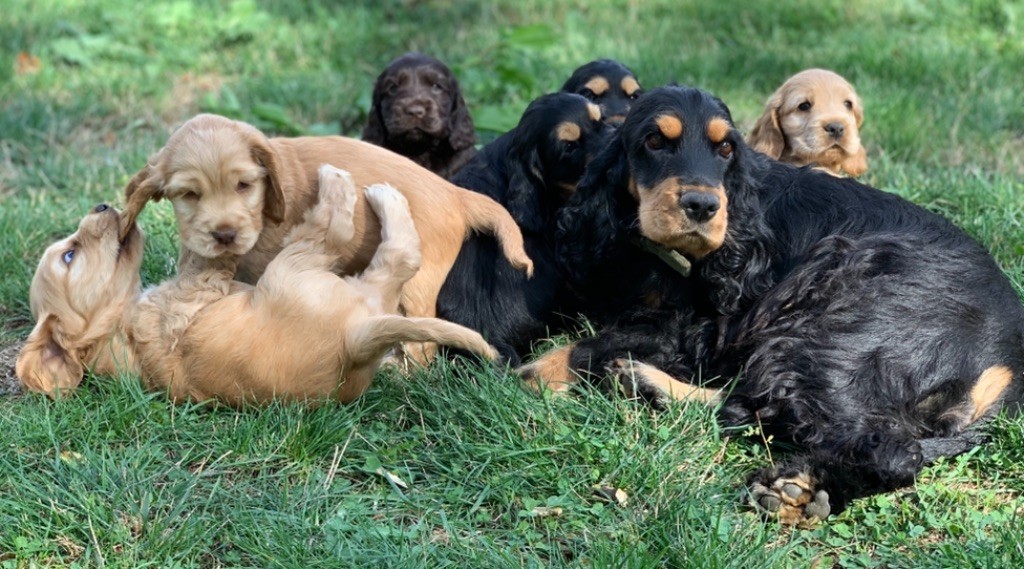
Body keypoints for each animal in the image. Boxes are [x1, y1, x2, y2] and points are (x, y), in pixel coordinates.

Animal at [121, 115, 528, 362]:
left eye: (243, 185)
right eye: (190, 194)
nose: (224, 234)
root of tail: (456, 194)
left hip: (419, 285)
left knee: (423, 344)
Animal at [524, 84, 1019, 523]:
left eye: (726, 149)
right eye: (653, 141)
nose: (702, 206)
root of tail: (1007, 363)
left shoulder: (689, 326)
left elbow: (582, 348)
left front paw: (528, 376)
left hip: (837, 321)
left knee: (887, 450)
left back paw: (800, 489)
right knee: (758, 407)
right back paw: (646, 384)